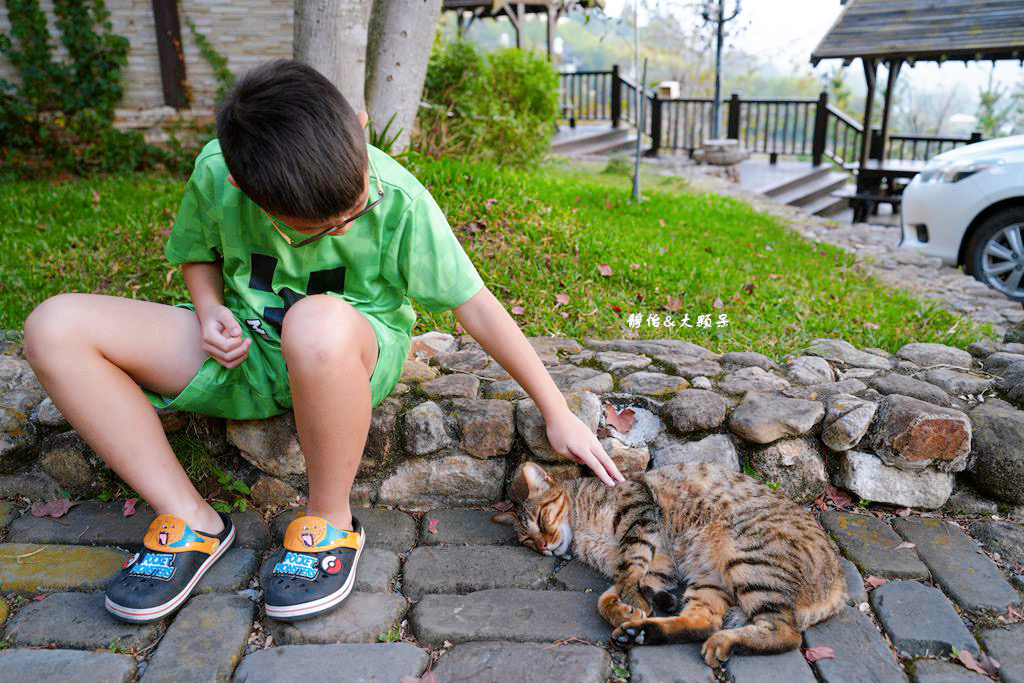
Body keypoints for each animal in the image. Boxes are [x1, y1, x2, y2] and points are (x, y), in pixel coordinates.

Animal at [491, 458, 843, 667]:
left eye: (541, 518)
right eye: (526, 541)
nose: (545, 547)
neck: (582, 533)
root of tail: (839, 585)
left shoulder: (639, 513)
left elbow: (627, 572)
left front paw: (634, 603)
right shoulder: (660, 563)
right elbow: (612, 593)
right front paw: (629, 609)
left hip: (748, 560)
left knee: (784, 632)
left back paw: (723, 642)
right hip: (709, 576)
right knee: (706, 620)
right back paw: (641, 632)